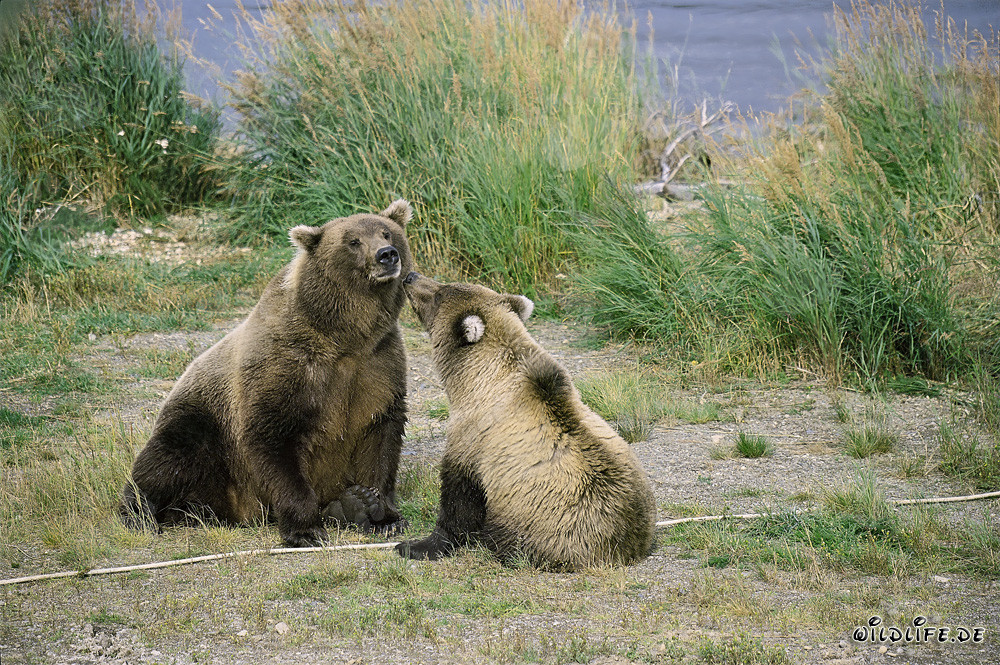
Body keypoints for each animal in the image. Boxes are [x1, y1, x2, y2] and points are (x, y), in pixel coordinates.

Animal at [119, 200, 415, 547]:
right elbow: (273, 438)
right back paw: (141, 513)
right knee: (170, 456)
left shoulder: (377, 363)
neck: (343, 334)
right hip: (203, 425)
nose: (386, 254)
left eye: (387, 232)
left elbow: (380, 435)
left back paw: (349, 504)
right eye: (352, 241)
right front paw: (306, 530)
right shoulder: (285, 365)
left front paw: (382, 513)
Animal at [395, 272, 656, 570]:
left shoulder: (473, 437)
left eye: (440, 294)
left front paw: (416, 545)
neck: (477, 379)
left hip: (543, 528)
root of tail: (625, 549)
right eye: (446, 284)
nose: (410, 276)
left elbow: (459, 498)